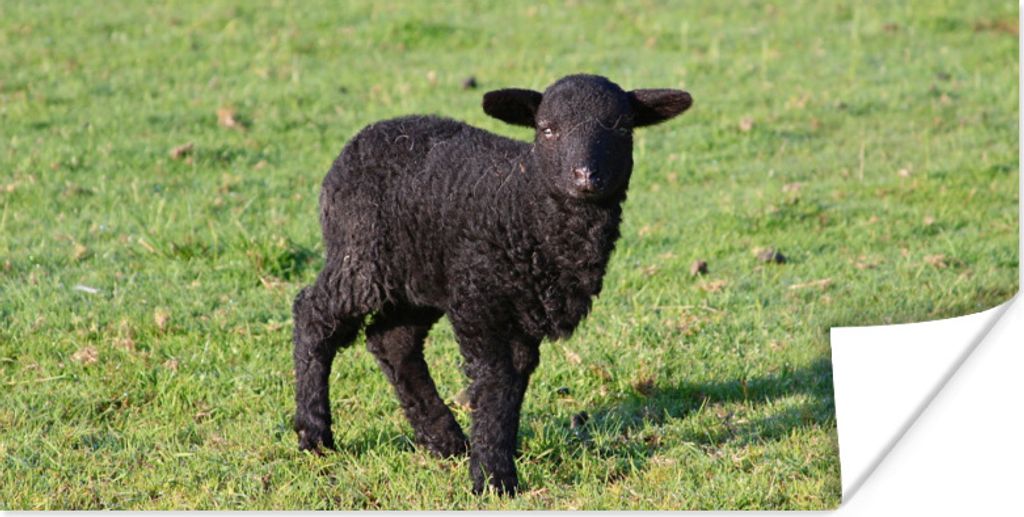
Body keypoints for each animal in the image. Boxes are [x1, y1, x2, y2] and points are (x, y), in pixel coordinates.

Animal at [292, 74, 692, 495]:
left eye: (621, 128)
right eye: (547, 129)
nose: (585, 176)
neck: (526, 205)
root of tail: (362, 138)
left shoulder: (521, 310)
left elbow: (513, 381)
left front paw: (495, 457)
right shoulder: (481, 302)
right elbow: (493, 380)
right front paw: (493, 477)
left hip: (421, 276)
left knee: (393, 342)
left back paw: (445, 440)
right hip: (360, 257)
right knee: (313, 314)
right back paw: (314, 432)